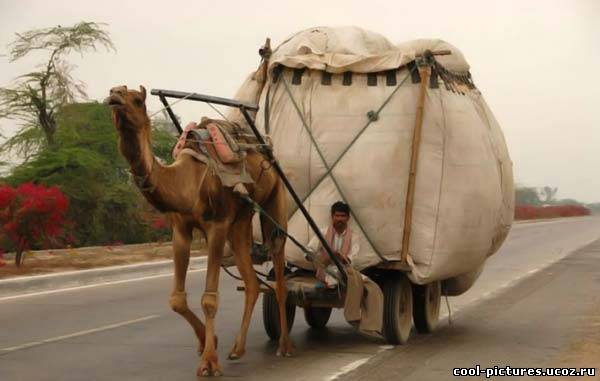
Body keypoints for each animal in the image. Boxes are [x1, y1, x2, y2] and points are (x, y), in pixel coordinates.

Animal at [108, 84, 296, 378]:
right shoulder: (181, 230)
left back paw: (285, 346)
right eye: (114, 90)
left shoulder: (216, 225)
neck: (187, 181)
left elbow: (209, 299)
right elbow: (176, 299)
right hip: (240, 221)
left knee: (279, 272)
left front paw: (209, 362)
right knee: (253, 283)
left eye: (137, 100)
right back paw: (237, 349)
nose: (114, 97)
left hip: (276, 198)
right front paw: (210, 342)